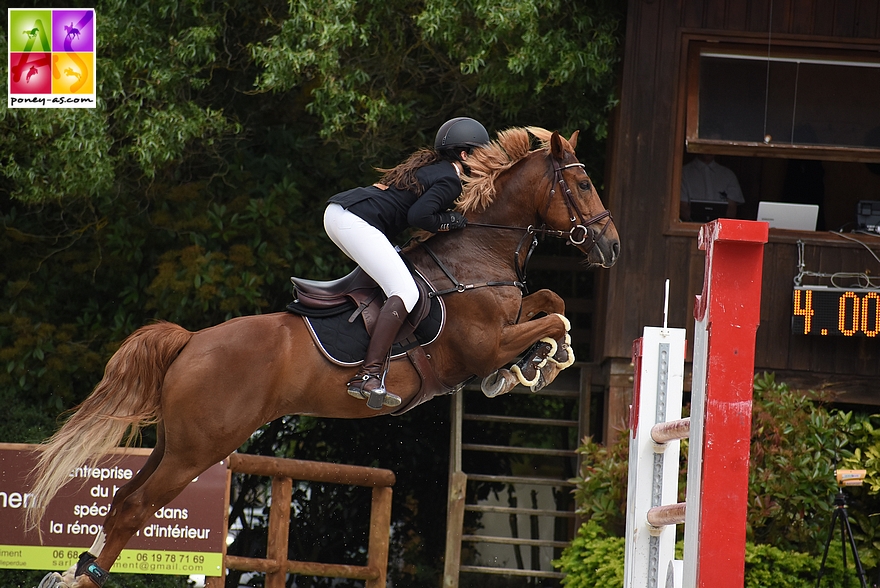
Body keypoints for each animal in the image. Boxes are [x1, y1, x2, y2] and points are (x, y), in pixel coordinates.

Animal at [29, 126, 620, 584]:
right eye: (584, 183)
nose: (611, 246)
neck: (477, 252)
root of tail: (191, 341)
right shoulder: (482, 345)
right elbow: (553, 317)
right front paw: (541, 360)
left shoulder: (506, 322)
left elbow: (550, 302)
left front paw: (533, 364)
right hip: (198, 450)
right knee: (133, 507)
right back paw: (82, 579)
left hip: (176, 444)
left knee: (122, 499)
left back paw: (71, 573)